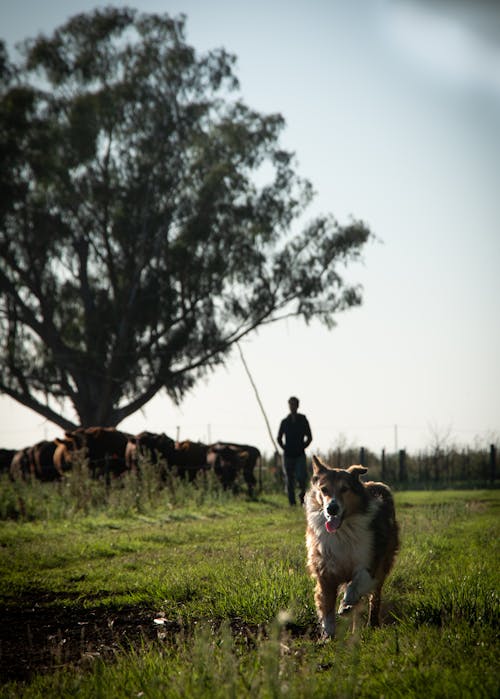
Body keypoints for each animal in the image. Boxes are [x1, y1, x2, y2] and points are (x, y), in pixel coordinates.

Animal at [304, 454, 398, 640]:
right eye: (324, 489)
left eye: (344, 489)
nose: (332, 509)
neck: (342, 530)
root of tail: (376, 484)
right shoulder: (325, 572)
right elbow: (327, 608)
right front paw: (327, 636)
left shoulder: (370, 561)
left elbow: (357, 583)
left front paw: (346, 603)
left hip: (384, 562)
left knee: (374, 597)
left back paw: (371, 623)